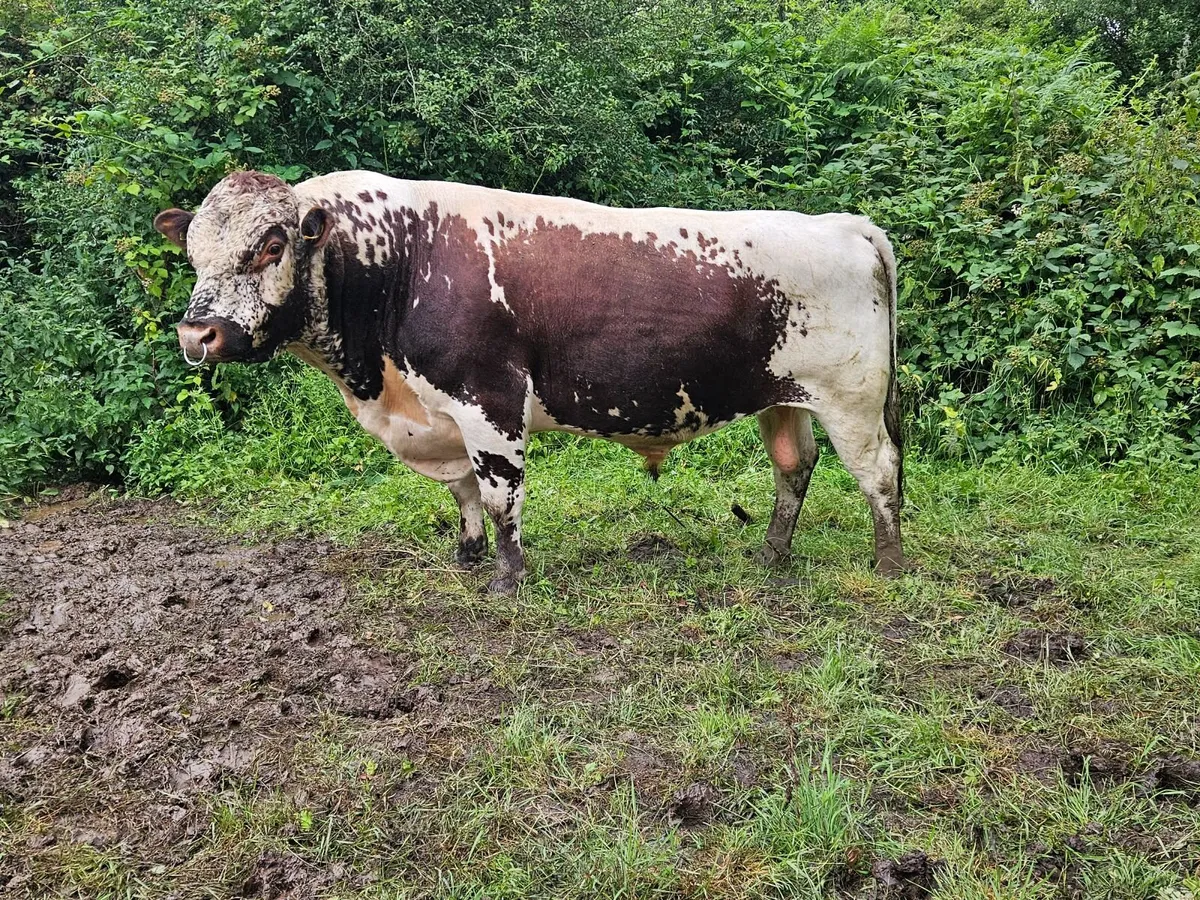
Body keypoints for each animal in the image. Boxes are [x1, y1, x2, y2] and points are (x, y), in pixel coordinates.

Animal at [154, 170, 906, 594]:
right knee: (794, 466)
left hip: (852, 399)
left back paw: (888, 563)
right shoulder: (439, 415)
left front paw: (507, 578)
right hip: (784, 396)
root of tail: (846, 223)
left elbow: (498, 494)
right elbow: (462, 493)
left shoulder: (488, 400)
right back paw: (771, 556)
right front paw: (466, 558)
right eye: (190, 250)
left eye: (271, 245)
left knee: (880, 472)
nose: (197, 335)